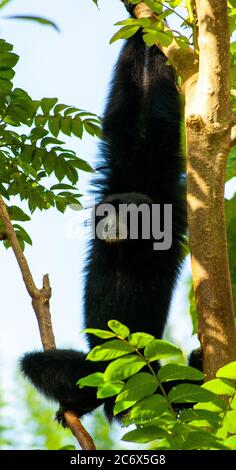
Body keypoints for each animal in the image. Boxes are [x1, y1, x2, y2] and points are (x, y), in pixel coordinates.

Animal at [20, 0, 190, 426]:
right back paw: (81, 403)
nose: (110, 224)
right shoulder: (124, 169)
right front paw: (139, 20)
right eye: (108, 212)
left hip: (146, 375)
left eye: (127, 215)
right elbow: (132, 114)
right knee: (37, 364)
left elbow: (157, 122)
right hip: (99, 370)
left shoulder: (167, 199)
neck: (129, 249)